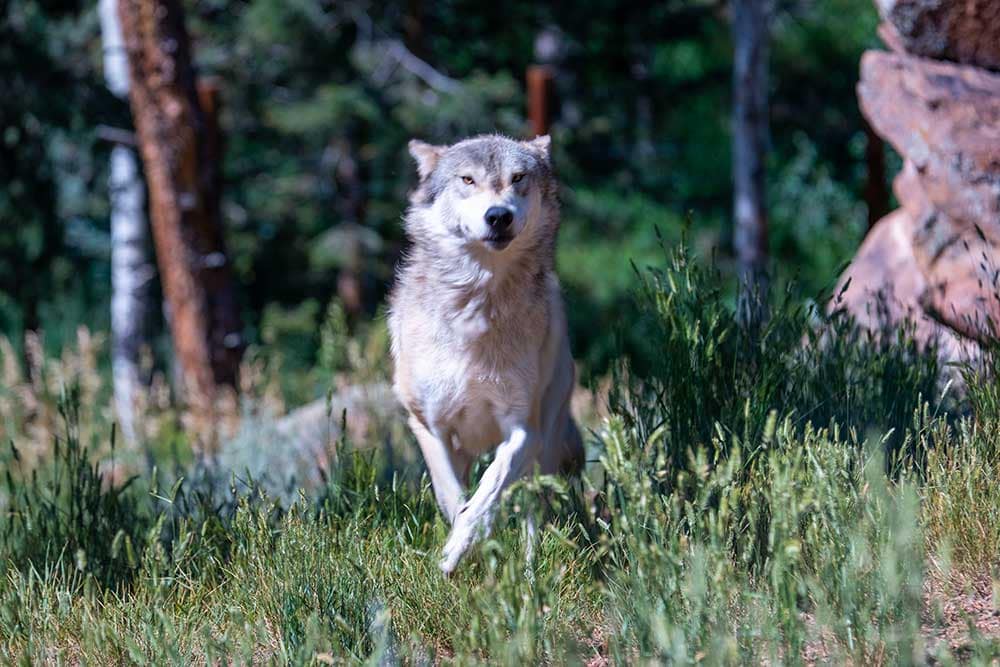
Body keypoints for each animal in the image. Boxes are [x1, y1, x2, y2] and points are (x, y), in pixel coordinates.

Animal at [388, 134, 584, 574]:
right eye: (468, 180)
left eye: (518, 178)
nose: (498, 216)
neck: (476, 307)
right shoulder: (428, 426)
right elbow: (452, 496)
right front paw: (459, 553)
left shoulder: (522, 430)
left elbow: (490, 489)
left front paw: (463, 545)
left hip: (546, 444)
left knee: (531, 513)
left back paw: (529, 574)